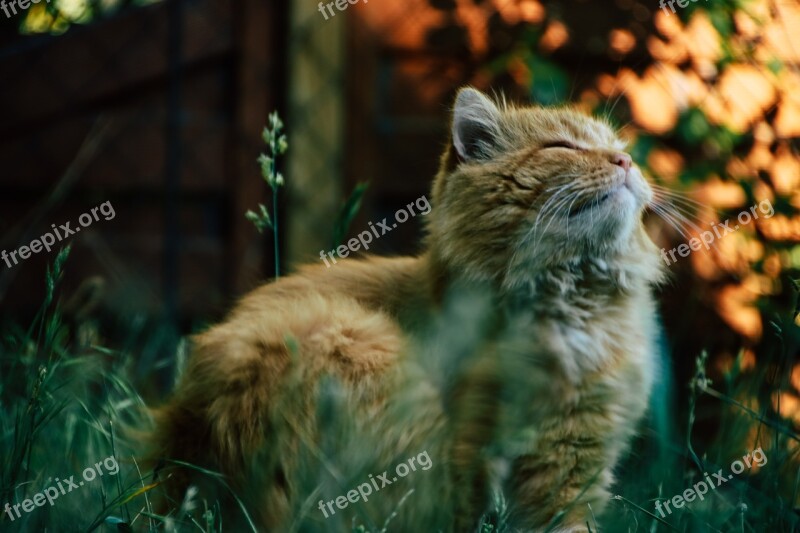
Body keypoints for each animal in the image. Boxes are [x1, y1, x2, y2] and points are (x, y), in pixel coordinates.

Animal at [150, 88, 664, 532]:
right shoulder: (478, 440)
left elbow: (566, 519)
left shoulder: (575, 457)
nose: (626, 161)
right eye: (562, 146)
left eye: (620, 150)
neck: (573, 302)